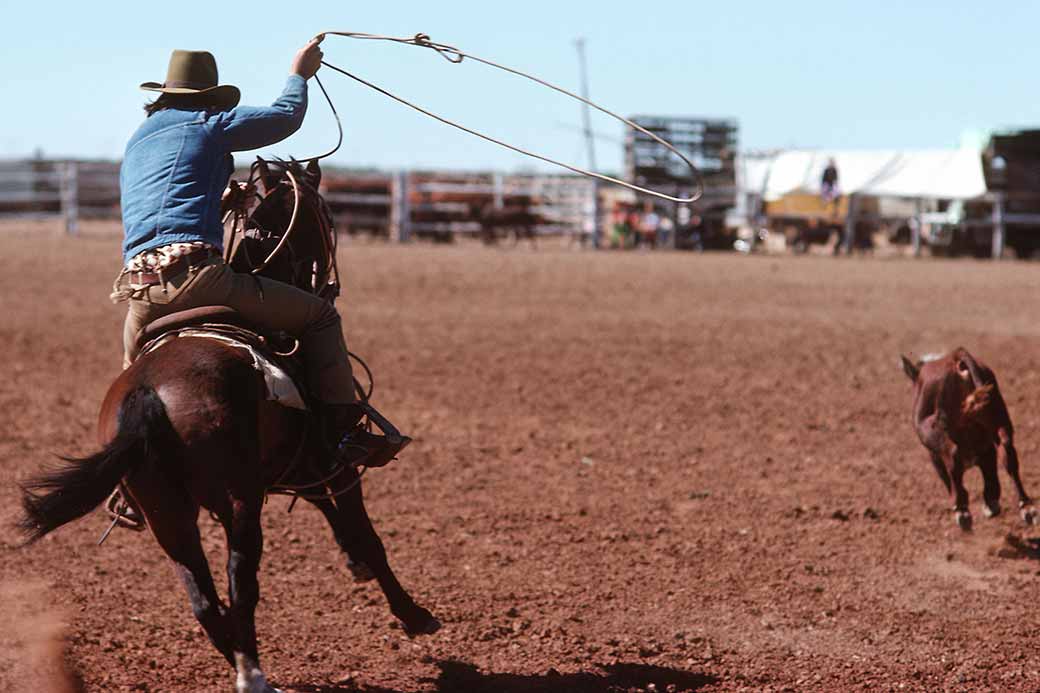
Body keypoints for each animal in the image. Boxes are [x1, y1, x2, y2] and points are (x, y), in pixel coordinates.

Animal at [901, 348, 1037, 531]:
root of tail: (956, 358)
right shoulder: (987, 450)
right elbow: (991, 475)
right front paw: (991, 504)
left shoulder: (935, 456)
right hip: (1000, 420)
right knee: (1007, 454)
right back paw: (1026, 508)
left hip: (935, 434)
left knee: (953, 457)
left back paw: (962, 512)